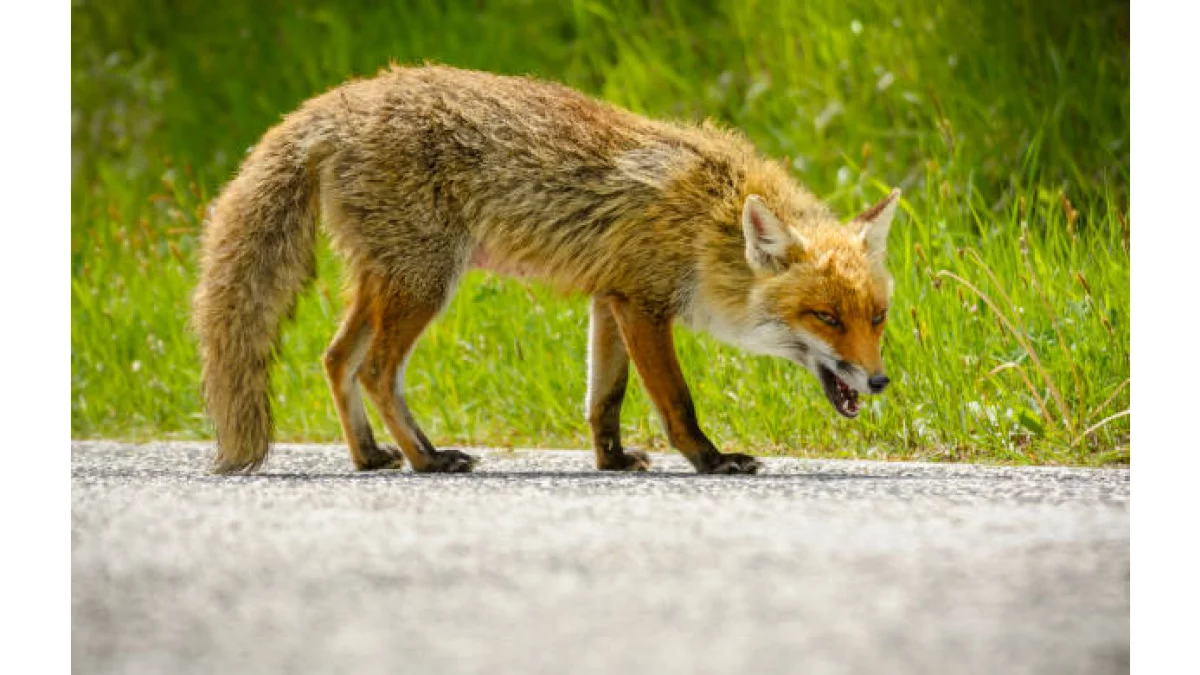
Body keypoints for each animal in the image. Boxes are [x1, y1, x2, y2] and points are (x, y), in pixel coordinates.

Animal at [192, 61, 902, 473]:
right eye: (825, 317)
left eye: (877, 318)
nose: (878, 382)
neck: (709, 220)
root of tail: (341, 101)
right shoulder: (645, 305)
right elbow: (675, 399)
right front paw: (709, 459)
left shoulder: (611, 300)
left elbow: (604, 399)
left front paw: (611, 462)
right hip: (424, 283)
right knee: (374, 371)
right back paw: (427, 459)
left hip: (388, 280)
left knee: (336, 359)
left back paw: (369, 457)